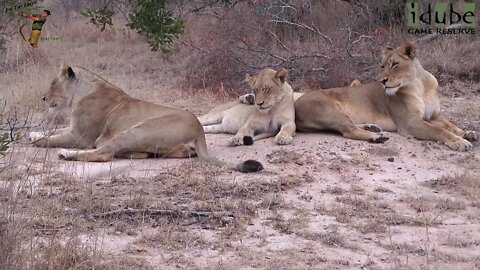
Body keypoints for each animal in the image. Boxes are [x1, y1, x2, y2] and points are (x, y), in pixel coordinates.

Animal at [27, 64, 262, 172]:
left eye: (52, 83)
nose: (43, 98)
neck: (81, 91)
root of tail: (198, 130)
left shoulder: (81, 137)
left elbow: (50, 139)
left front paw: (35, 140)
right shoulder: (73, 130)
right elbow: (52, 132)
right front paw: (32, 133)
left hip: (136, 131)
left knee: (102, 153)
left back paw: (66, 154)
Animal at [292, 40, 476, 150]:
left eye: (395, 64)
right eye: (382, 66)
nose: (382, 80)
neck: (419, 86)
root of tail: (295, 103)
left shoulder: (434, 115)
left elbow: (450, 124)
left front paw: (467, 133)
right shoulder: (410, 123)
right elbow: (438, 130)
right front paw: (459, 141)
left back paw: (373, 127)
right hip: (331, 109)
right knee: (349, 131)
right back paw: (378, 136)